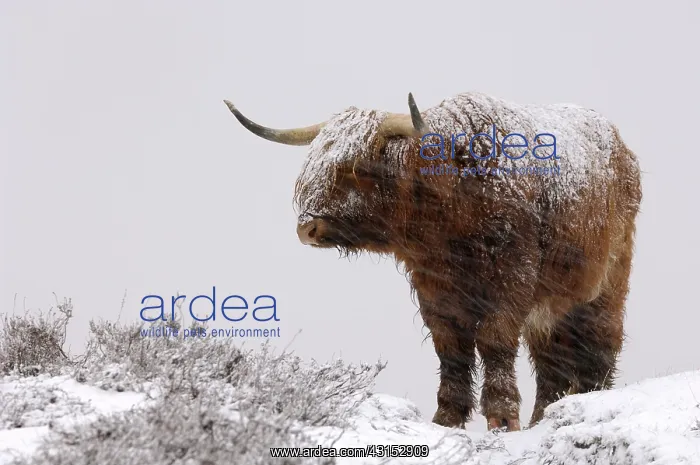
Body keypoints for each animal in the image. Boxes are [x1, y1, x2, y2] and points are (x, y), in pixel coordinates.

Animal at [224, 91, 642, 431]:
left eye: (356, 168)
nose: (307, 227)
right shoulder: (434, 287)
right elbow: (451, 348)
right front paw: (448, 416)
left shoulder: (512, 278)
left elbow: (494, 339)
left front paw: (503, 417)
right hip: (552, 306)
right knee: (551, 360)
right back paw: (543, 416)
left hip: (605, 283)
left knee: (601, 344)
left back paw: (588, 399)